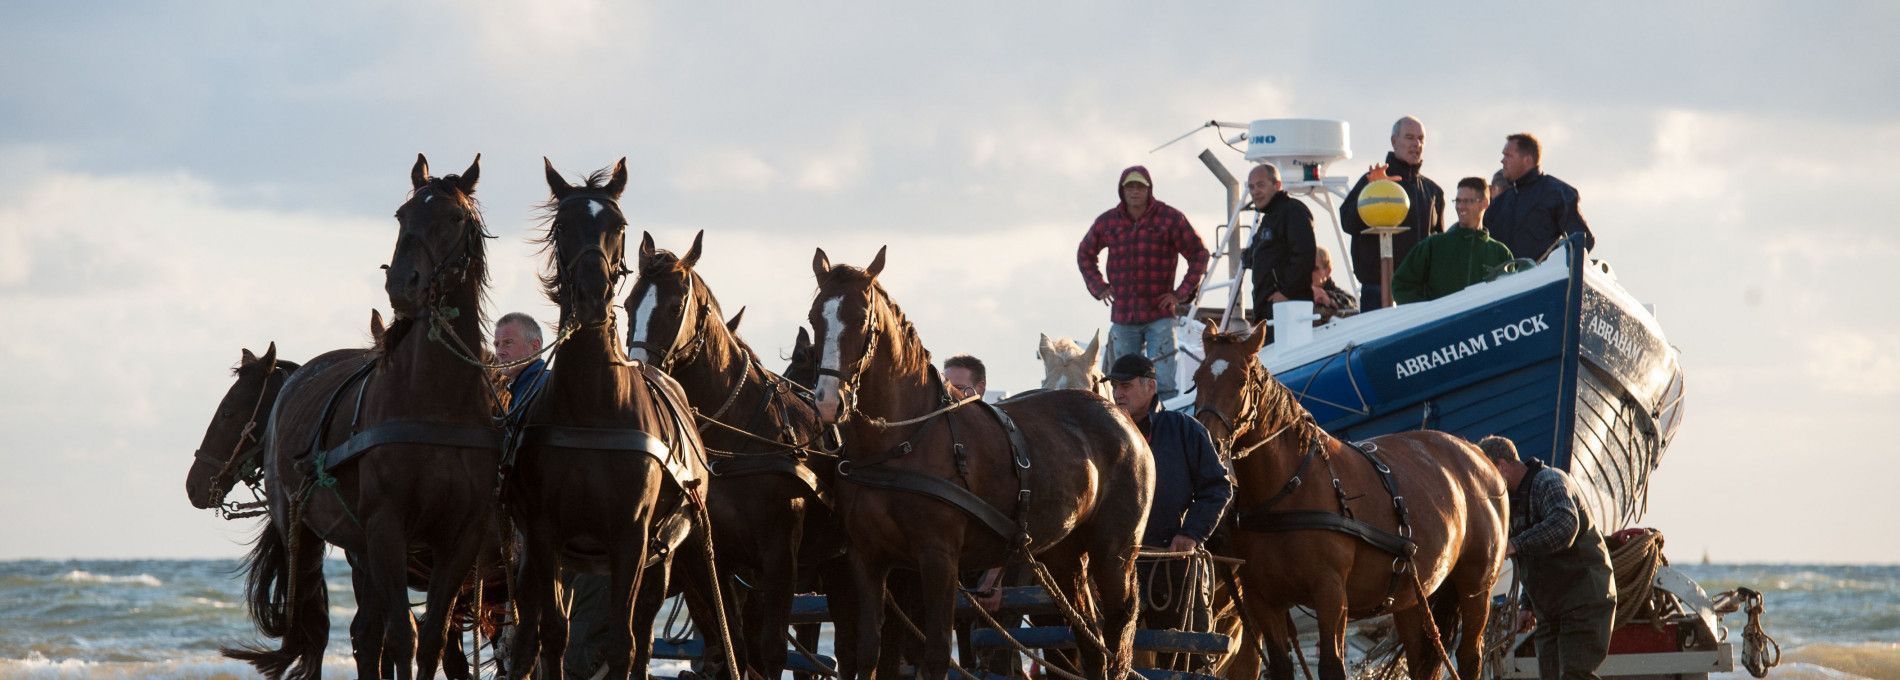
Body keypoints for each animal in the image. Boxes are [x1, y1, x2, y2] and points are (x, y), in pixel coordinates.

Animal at [227, 153, 509, 680]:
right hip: (307, 535)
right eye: (402, 215)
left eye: (453, 218)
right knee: (324, 632)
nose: (402, 285)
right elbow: (402, 636)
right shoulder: (385, 529)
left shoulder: (462, 538)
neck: (434, 402)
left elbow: (432, 638)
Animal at [509, 160, 729, 680]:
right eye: (562, 225)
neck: (592, 408)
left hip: (663, 553)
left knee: (643, 629)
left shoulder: (632, 536)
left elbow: (624, 642)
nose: (593, 294)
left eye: (619, 225)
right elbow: (555, 634)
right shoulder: (545, 533)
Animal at [627, 230, 858, 676]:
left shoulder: (779, 557)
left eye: (675, 305)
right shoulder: (712, 562)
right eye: (628, 304)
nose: (640, 370)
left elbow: (769, 652)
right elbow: (734, 643)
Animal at [805, 246, 1147, 680]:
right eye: (815, 317)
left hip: (1115, 552)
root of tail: (1122, 419)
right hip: (1064, 554)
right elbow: (869, 652)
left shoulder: (938, 558)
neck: (897, 445)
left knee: (1118, 633)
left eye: (863, 318)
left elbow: (935, 654)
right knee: (1089, 639)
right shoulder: (867, 559)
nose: (828, 401)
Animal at [1193, 321, 1504, 680]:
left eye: (1241, 380)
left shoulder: (1329, 592)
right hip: (1415, 595)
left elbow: (1331, 665)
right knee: (1422, 659)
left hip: (1476, 586)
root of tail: (1476, 452)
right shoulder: (1263, 599)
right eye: (1197, 379)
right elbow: (1281, 665)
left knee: (1469, 655)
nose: (1207, 438)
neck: (1286, 488)